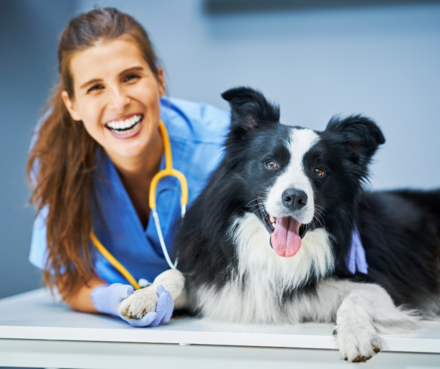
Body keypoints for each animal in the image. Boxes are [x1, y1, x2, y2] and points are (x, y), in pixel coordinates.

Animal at [119, 87, 440, 362]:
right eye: (270, 164)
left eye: (319, 171)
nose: (295, 198)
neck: (272, 254)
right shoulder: (217, 279)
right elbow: (174, 275)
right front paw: (145, 296)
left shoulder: (383, 290)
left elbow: (359, 295)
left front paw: (356, 334)